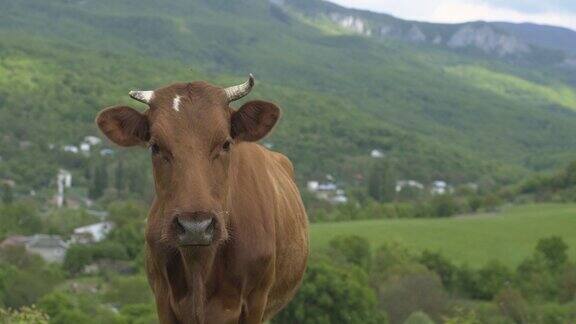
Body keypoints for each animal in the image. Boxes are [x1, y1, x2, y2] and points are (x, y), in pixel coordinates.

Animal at [96, 74, 308, 322]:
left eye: (226, 143)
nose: (195, 226)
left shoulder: (256, 302)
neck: (200, 265)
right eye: (155, 146)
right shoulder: (163, 299)